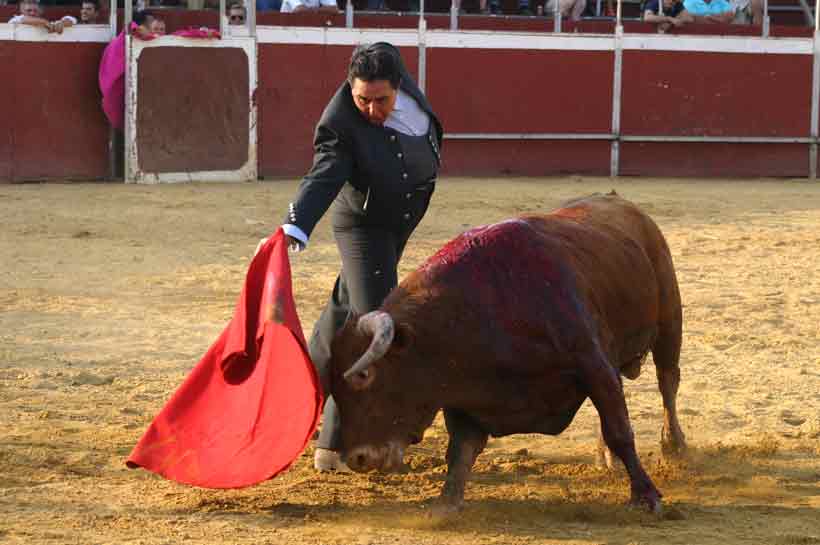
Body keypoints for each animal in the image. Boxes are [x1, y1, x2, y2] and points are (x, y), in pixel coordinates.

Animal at [326, 192, 684, 516]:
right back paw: (608, 458)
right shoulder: (463, 394)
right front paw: (445, 505)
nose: (357, 459)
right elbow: (462, 449)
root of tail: (625, 204)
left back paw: (674, 445)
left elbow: (620, 431)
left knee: (667, 381)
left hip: (670, 320)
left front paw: (646, 496)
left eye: (364, 374)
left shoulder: (593, 364)